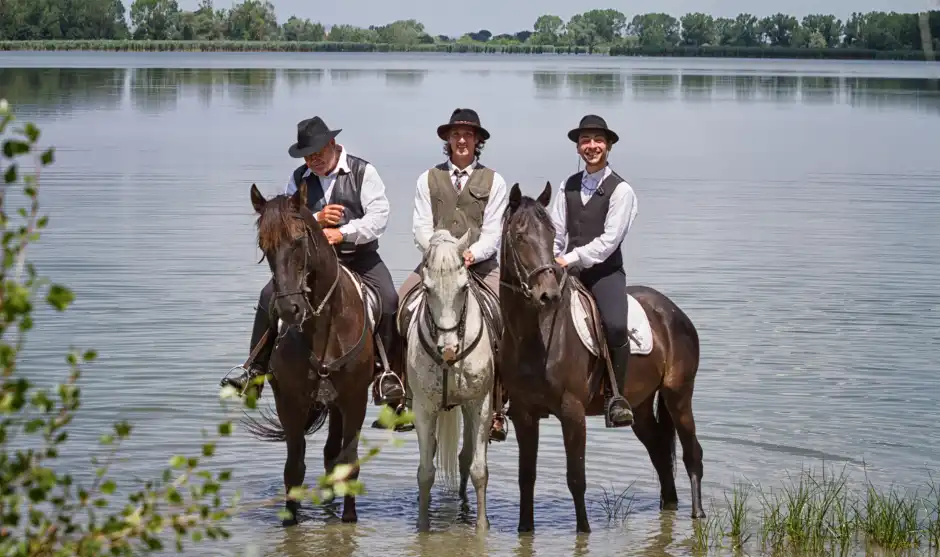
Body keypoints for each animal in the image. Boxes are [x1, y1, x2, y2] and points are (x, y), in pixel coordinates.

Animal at [242, 181, 374, 524]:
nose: (289, 309)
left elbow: (349, 462)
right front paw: (290, 519)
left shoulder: (355, 399)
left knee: (334, 454)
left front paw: (349, 518)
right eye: (264, 246)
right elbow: (294, 468)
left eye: (299, 240)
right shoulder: (289, 401)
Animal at [402, 229, 496, 528]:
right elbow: (425, 471)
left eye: (464, 288)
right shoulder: (423, 409)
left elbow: (479, 470)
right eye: (427, 289)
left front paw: (482, 527)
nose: (449, 348)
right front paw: (422, 525)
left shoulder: (480, 405)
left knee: (465, 458)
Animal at [500, 184, 704, 536]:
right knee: (660, 454)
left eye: (551, 233)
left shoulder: (572, 413)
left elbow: (576, 478)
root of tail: (673, 312)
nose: (548, 295)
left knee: (692, 453)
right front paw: (525, 531)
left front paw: (584, 532)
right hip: (641, 406)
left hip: (678, 395)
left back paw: (698, 514)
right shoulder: (524, 414)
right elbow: (526, 478)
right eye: (519, 236)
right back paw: (670, 508)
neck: (535, 336)